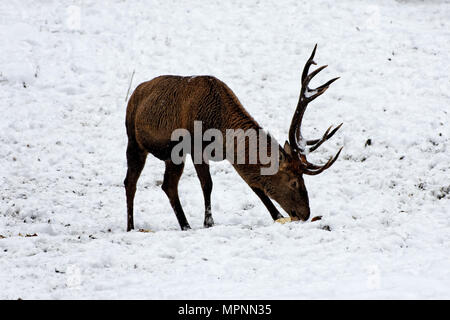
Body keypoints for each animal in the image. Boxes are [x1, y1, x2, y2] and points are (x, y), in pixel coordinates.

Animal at [123, 44, 342, 230]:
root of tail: (135, 92)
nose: (306, 214)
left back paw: (185, 225)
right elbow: (208, 184)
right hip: (133, 140)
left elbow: (255, 185)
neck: (221, 129)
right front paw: (209, 223)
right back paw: (131, 227)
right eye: (294, 182)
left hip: (173, 155)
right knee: (130, 182)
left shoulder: (230, 155)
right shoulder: (196, 148)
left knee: (168, 185)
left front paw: (277, 216)